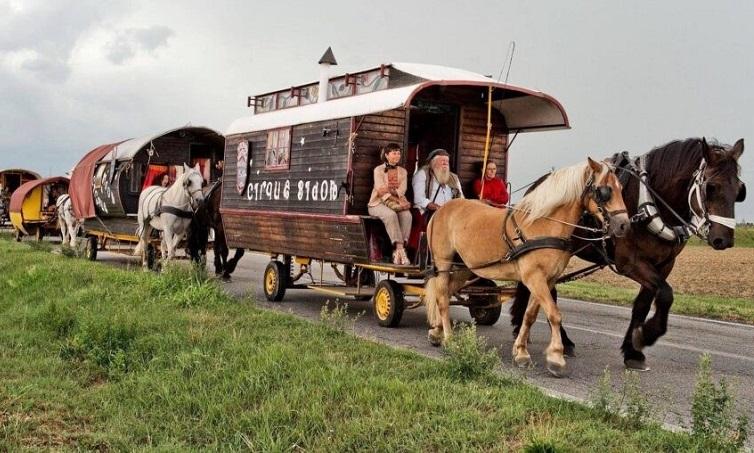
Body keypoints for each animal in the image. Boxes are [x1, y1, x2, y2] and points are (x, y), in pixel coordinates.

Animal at [424, 157, 628, 376]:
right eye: (605, 191)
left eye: (621, 188)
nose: (624, 225)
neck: (543, 225)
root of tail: (441, 210)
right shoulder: (534, 278)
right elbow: (554, 314)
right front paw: (556, 357)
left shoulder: (547, 280)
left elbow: (530, 315)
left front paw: (521, 352)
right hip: (443, 263)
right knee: (442, 298)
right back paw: (448, 338)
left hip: (463, 267)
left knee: (443, 293)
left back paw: (436, 331)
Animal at [508, 136, 744, 370]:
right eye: (710, 187)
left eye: (740, 190)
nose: (724, 239)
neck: (647, 204)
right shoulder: (630, 263)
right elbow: (665, 294)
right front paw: (647, 335)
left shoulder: (664, 264)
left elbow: (644, 303)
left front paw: (634, 350)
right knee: (550, 291)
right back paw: (563, 342)